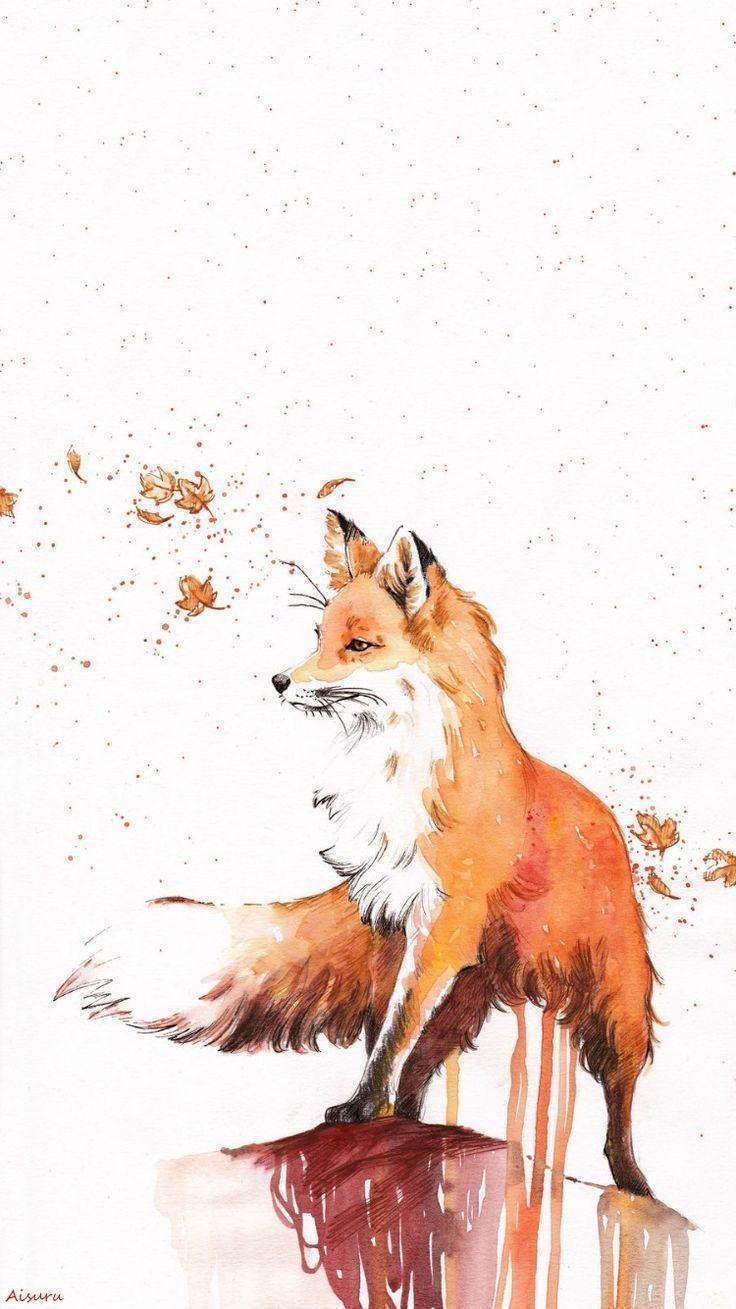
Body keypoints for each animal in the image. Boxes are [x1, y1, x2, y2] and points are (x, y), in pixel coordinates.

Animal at [56, 509, 657, 1196]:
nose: (279, 681)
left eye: (359, 646)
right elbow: (385, 1036)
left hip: (614, 999)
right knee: (422, 1071)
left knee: (618, 1099)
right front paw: (369, 1110)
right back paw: (417, 1130)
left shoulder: (440, 929)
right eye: (317, 635)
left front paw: (363, 1107)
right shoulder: (388, 922)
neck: (394, 770)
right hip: (466, 996)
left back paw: (633, 1183)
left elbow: (392, 1036)